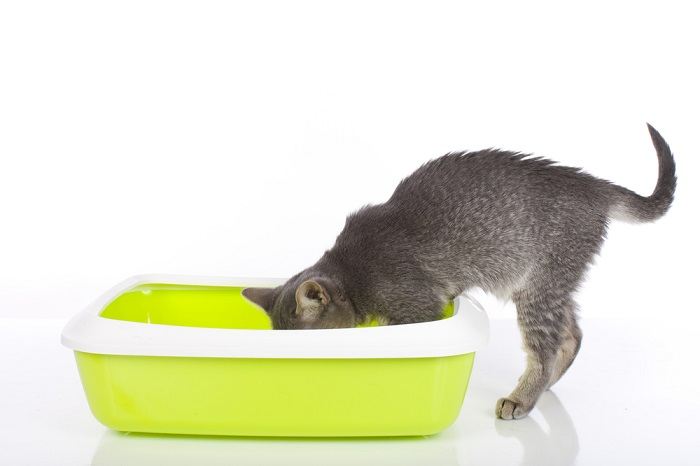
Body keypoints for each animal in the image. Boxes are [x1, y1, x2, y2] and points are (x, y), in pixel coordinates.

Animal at [243, 124, 676, 418]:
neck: (353, 271)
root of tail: (592, 184)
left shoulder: (417, 309)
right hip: (546, 284)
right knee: (573, 335)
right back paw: (545, 387)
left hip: (539, 288)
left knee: (547, 347)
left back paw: (523, 397)